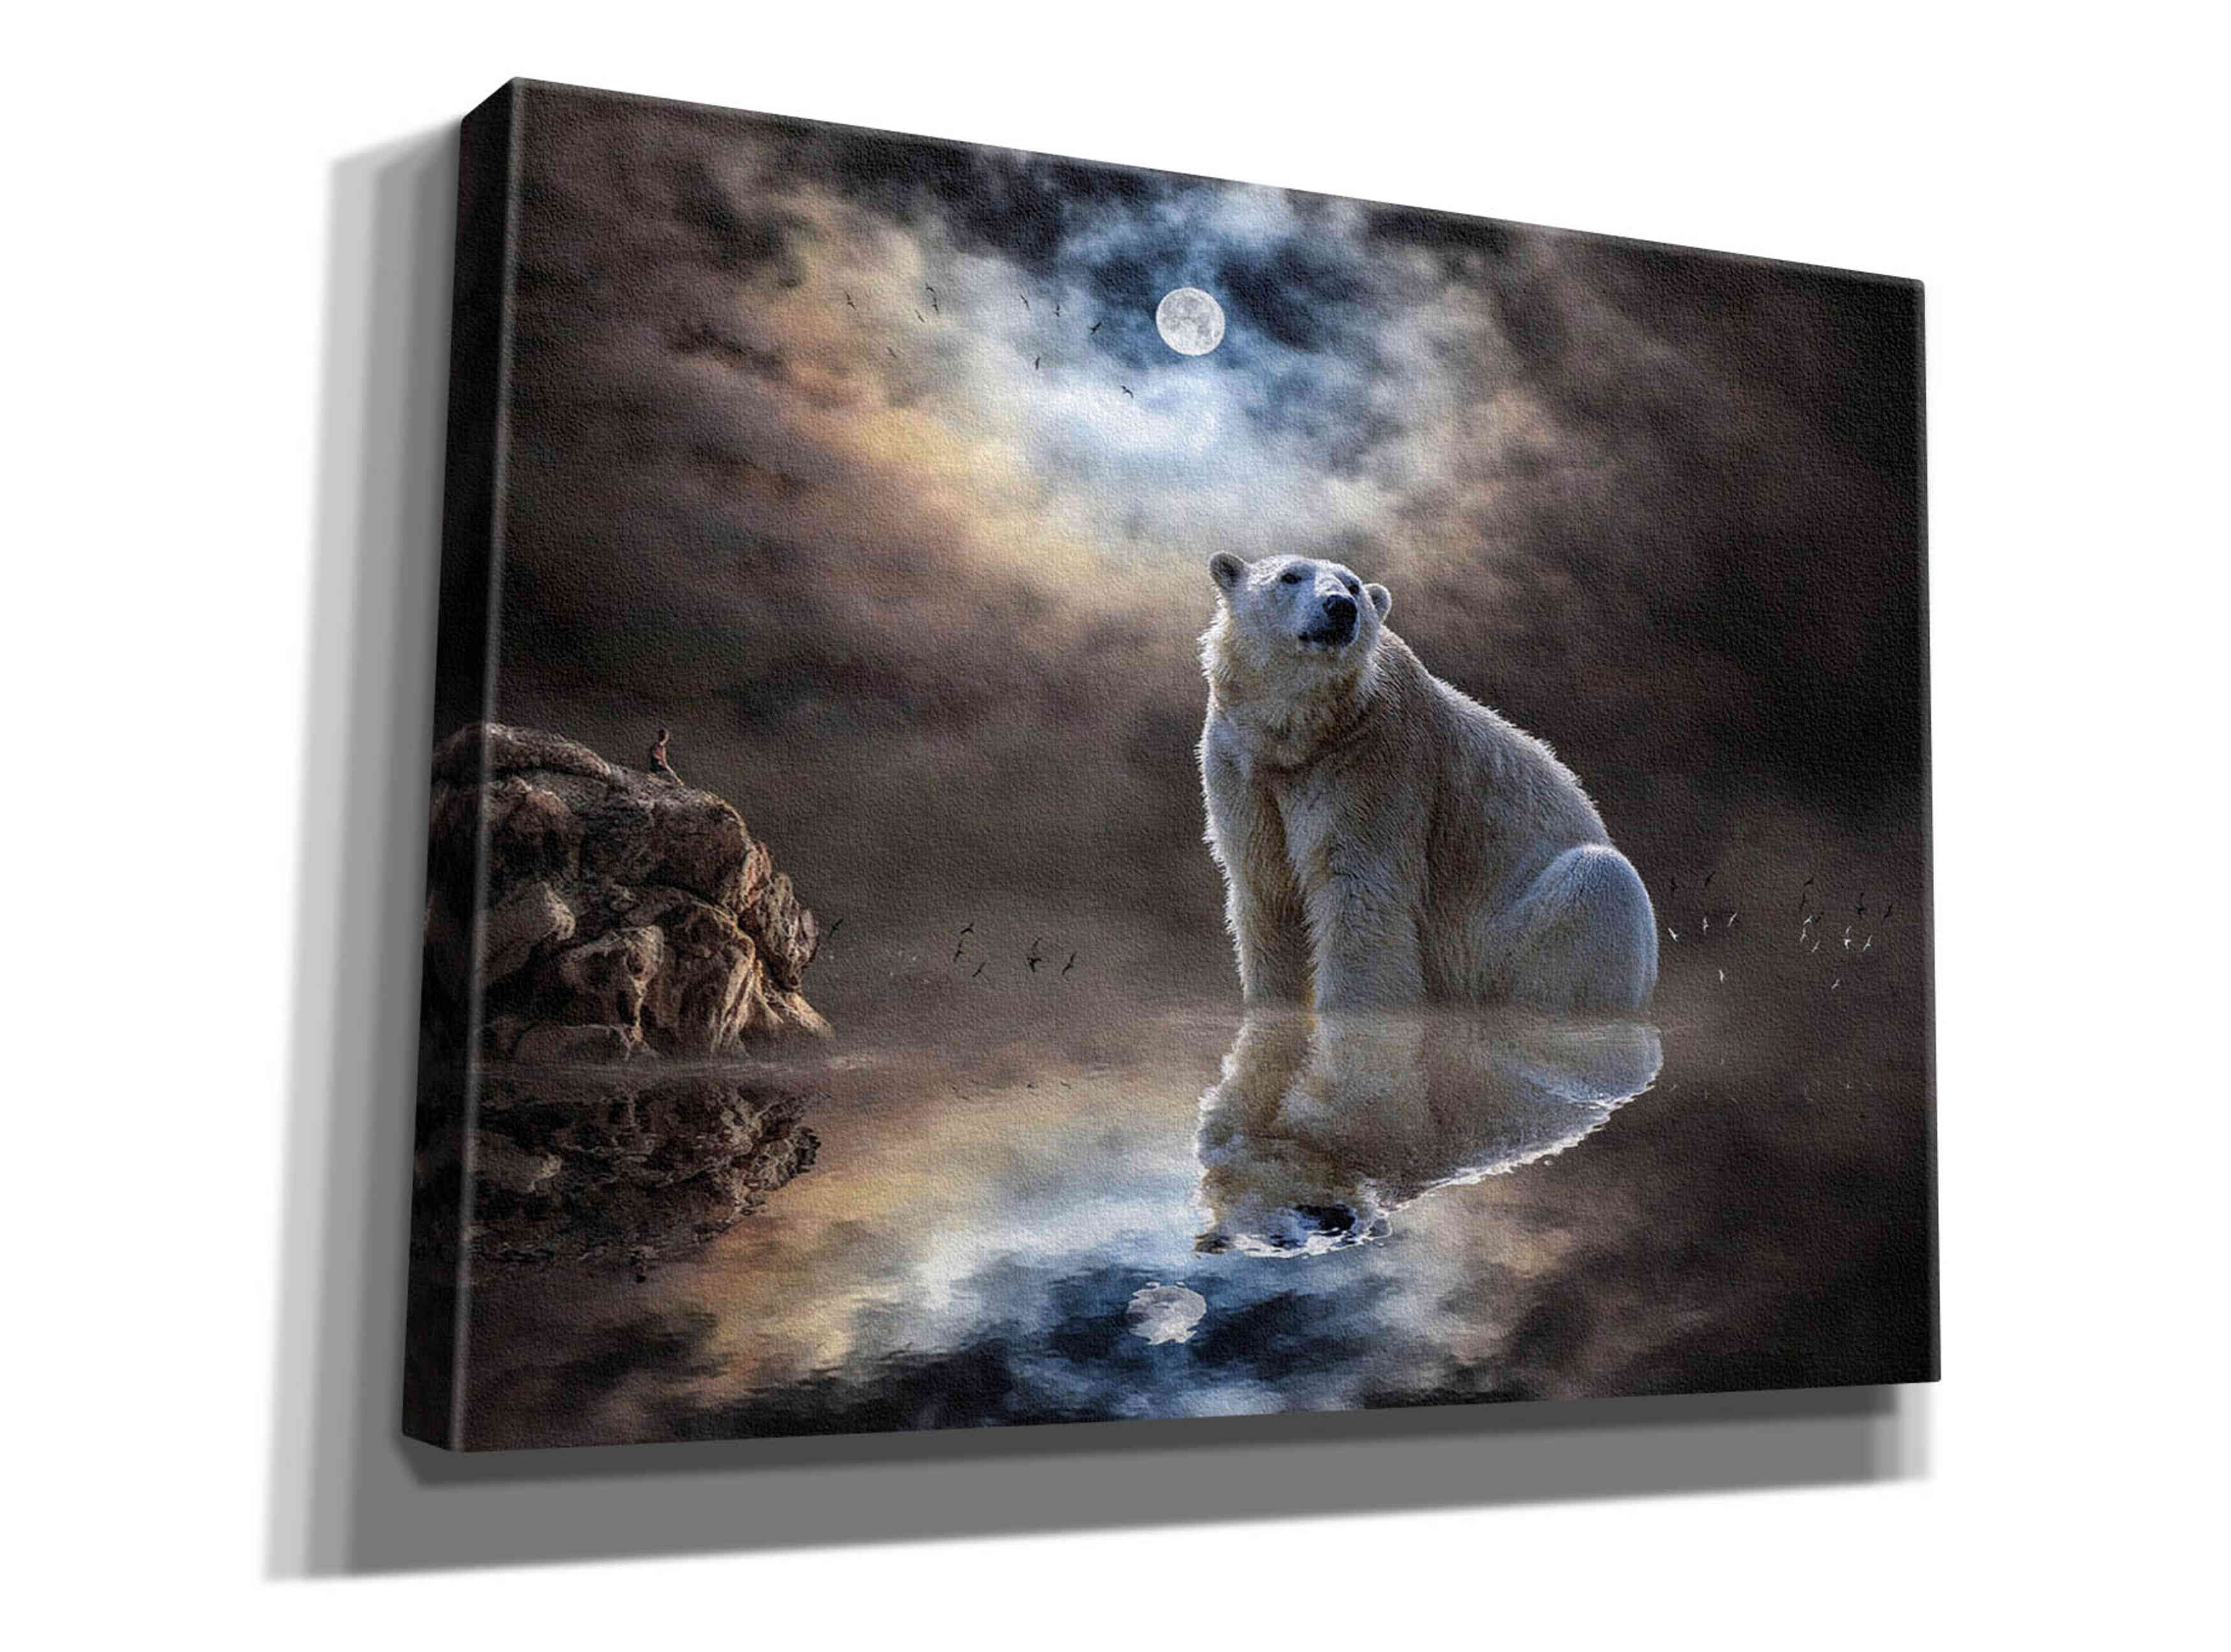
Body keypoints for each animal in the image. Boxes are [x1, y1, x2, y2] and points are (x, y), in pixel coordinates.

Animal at [1197, 551, 1658, 1015]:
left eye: (1353, 586)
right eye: (1290, 577)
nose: (1340, 607)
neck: (1298, 737)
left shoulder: (1374, 762)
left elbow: (1360, 892)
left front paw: (1350, 1009)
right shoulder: (1240, 764)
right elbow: (1266, 889)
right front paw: (1272, 1002)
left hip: (1505, 937)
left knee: (1600, 880)